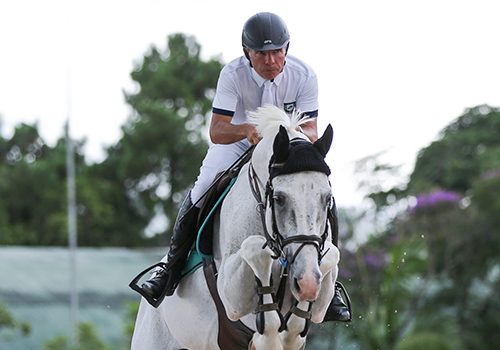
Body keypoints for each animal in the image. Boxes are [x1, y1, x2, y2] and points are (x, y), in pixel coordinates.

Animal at [131, 105, 340, 348]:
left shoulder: (318, 300)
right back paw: (156, 283)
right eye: (278, 198)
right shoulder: (231, 297)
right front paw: (267, 335)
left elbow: (331, 255)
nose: (306, 281)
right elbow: (255, 246)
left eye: (327, 198)